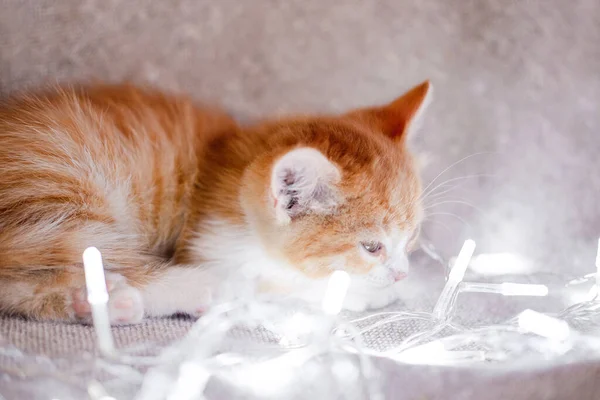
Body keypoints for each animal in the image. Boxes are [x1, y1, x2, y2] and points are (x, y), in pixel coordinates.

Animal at [0, 81, 432, 324]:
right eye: (371, 247)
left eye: (412, 238)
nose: (401, 273)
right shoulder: (213, 242)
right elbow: (295, 284)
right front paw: (369, 291)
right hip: (66, 181)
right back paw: (191, 289)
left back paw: (96, 302)